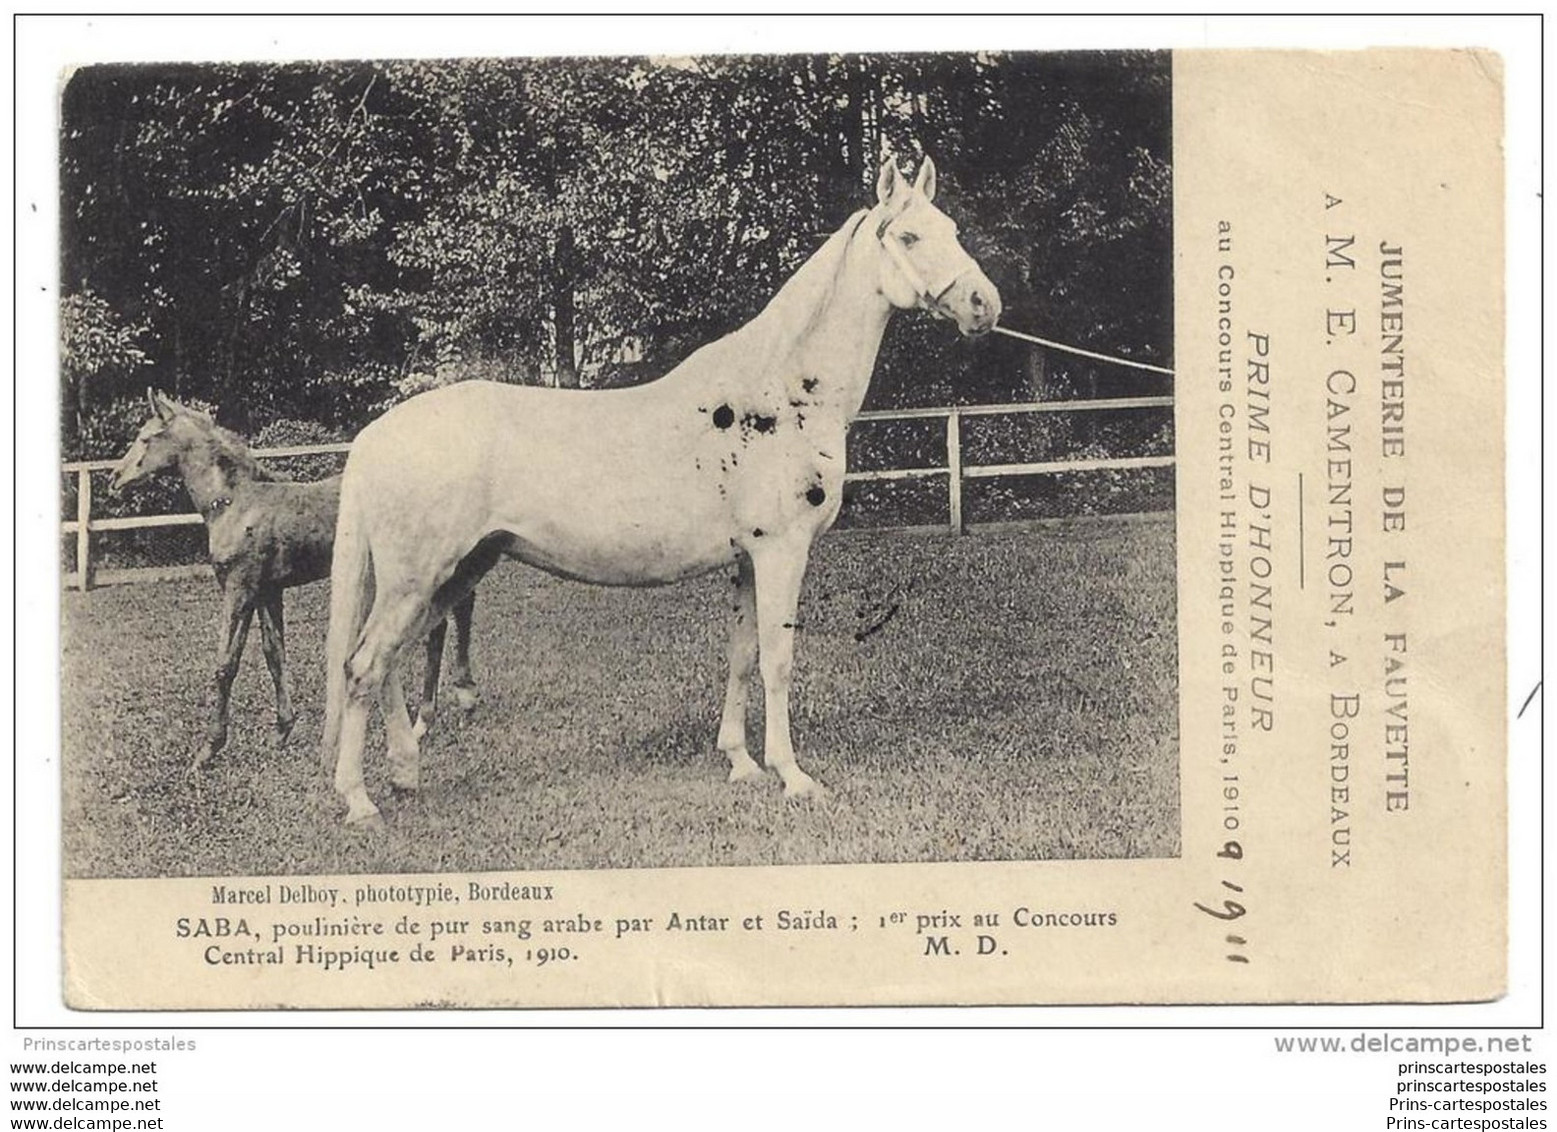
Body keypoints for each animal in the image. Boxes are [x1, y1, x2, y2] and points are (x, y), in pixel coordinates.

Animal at [323, 159, 1002, 828]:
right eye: (909, 237)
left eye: (952, 229)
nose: (984, 304)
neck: (779, 393)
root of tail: (376, 436)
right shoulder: (782, 551)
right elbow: (778, 659)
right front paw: (793, 777)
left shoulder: (748, 559)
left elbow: (742, 655)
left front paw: (741, 763)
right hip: (418, 577)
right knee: (362, 667)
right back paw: (359, 801)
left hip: (455, 571)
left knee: (390, 661)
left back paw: (405, 774)